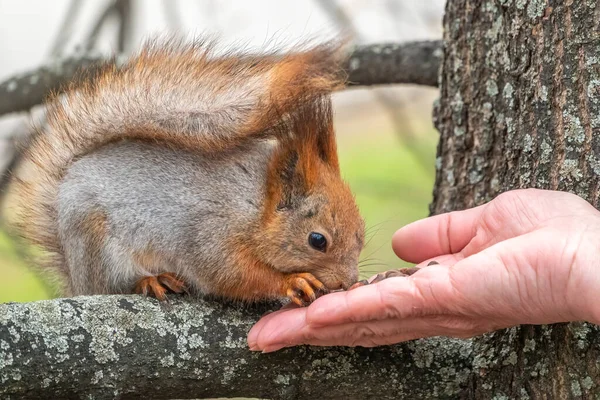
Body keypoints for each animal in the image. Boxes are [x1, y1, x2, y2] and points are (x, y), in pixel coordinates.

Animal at [12, 38, 366, 306]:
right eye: (317, 240)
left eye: (361, 232)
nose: (348, 281)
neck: (254, 204)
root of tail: (76, 277)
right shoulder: (211, 234)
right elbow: (230, 275)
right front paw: (292, 281)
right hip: (98, 245)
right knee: (115, 285)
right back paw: (152, 281)